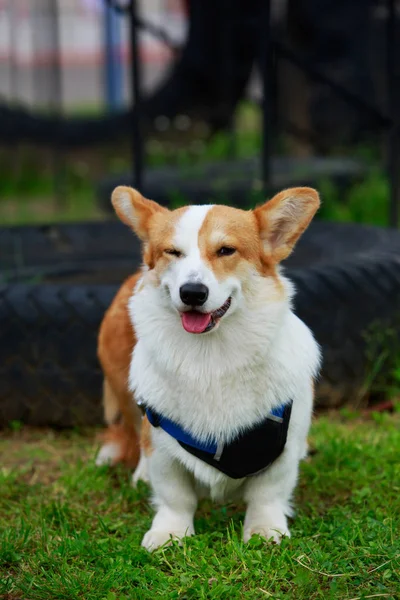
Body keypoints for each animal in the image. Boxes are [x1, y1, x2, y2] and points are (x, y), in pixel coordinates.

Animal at [97, 185, 322, 552]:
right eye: (172, 252)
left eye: (226, 250)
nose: (192, 293)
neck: (211, 356)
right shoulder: (162, 445)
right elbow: (175, 496)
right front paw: (170, 533)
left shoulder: (282, 450)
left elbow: (268, 494)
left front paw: (264, 530)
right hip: (122, 383)